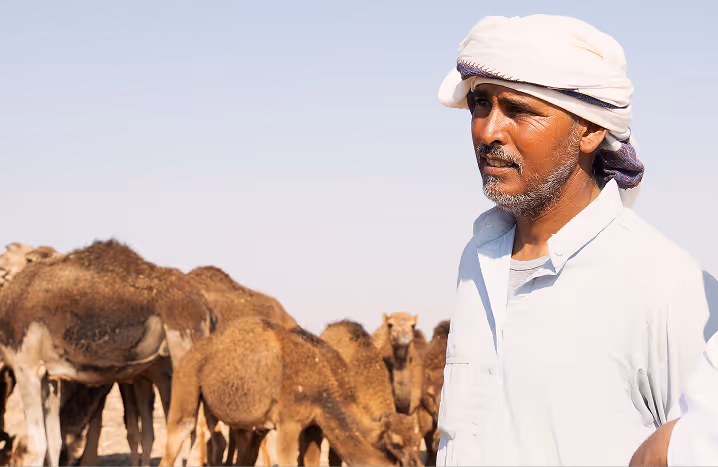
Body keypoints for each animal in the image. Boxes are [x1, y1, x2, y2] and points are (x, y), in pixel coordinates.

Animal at [0, 239, 214, 466]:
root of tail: (204, 306)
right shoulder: (49, 376)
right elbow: (54, 443)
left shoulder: (26, 367)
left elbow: (34, 448)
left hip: (183, 345)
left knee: (183, 423)